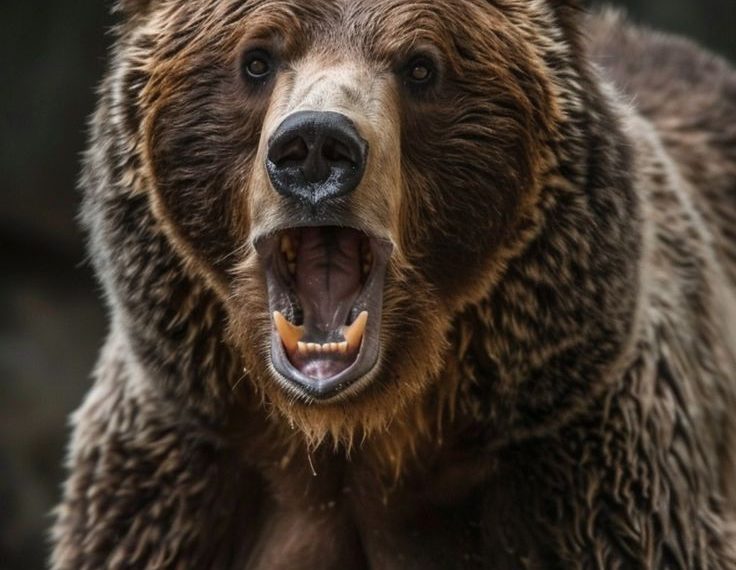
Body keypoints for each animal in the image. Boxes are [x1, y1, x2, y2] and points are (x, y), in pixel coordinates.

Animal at [51, 0, 736, 568]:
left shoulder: (583, 467)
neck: (354, 431)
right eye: (257, 59)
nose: (315, 145)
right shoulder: (175, 481)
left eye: (420, 66)